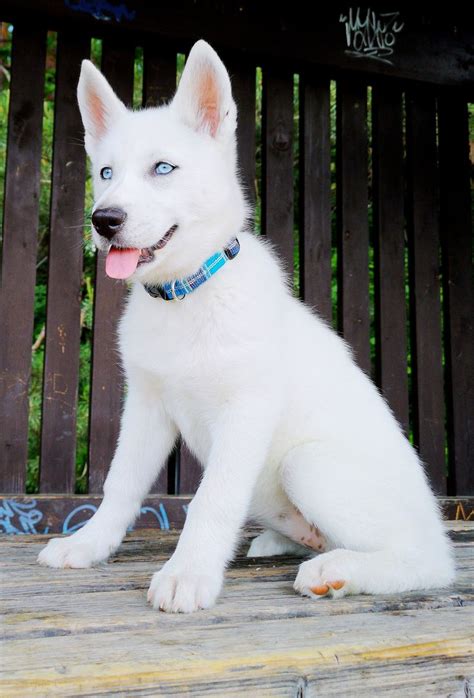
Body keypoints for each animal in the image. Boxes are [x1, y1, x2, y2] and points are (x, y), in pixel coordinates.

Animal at [38, 40, 456, 612]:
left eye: (163, 168)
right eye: (105, 173)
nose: (105, 220)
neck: (186, 296)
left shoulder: (246, 410)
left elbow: (210, 499)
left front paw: (188, 573)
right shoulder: (147, 407)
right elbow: (120, 485)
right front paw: (88, 545)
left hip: (308, 465)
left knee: (429, 560)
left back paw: (338, 571)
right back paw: (284, 543)